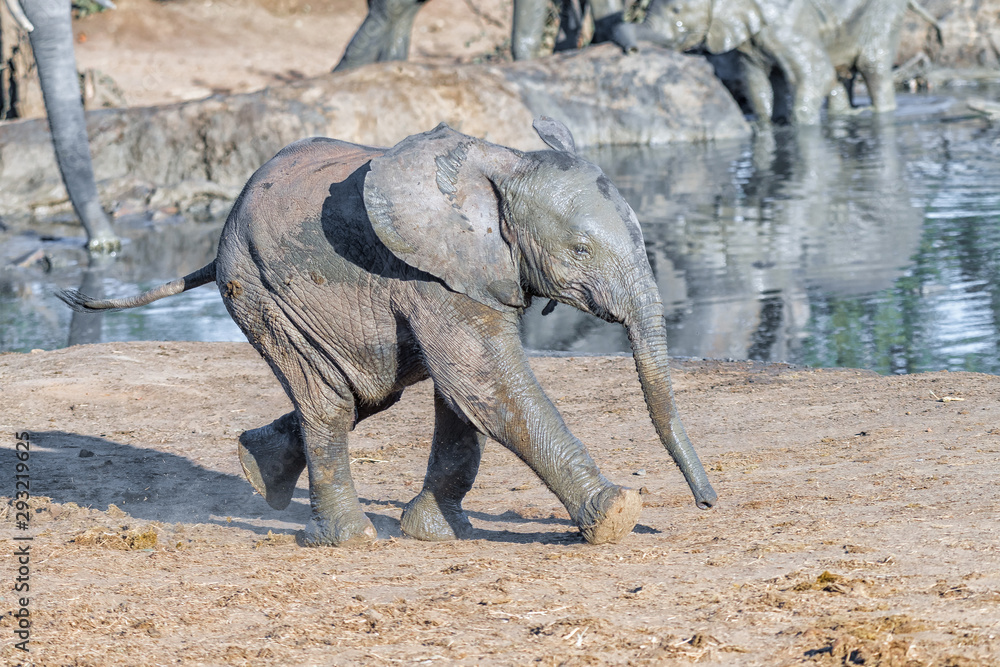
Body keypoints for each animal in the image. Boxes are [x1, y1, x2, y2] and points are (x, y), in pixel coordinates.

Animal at [59, 118, 717, 547]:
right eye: (580, 249)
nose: (707, 503)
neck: (501, 164)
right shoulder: (430, 272)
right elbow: (483, 380)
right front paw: (617, 516)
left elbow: (462, 395)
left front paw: (436, 531)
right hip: (263, 290)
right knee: (330, 399)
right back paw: (348, 540)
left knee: (367, 392)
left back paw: (256, 470)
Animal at [635, 0, 933, 124]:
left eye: (676, 10)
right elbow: (757, 87)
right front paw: (768, 124)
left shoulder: (787, 24)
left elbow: (817, 73)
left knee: (872, 66)